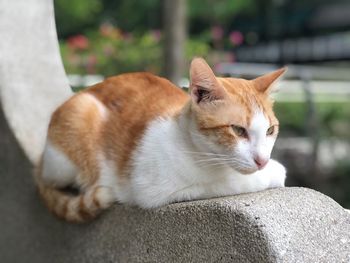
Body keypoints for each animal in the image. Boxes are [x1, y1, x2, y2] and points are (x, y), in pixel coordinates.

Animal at [34, 57, 288, 223]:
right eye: (238, 130)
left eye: (270, 130)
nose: (262, 161)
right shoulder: (155, 190)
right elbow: (231, 182)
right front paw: (273, 172)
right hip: (75, 133)